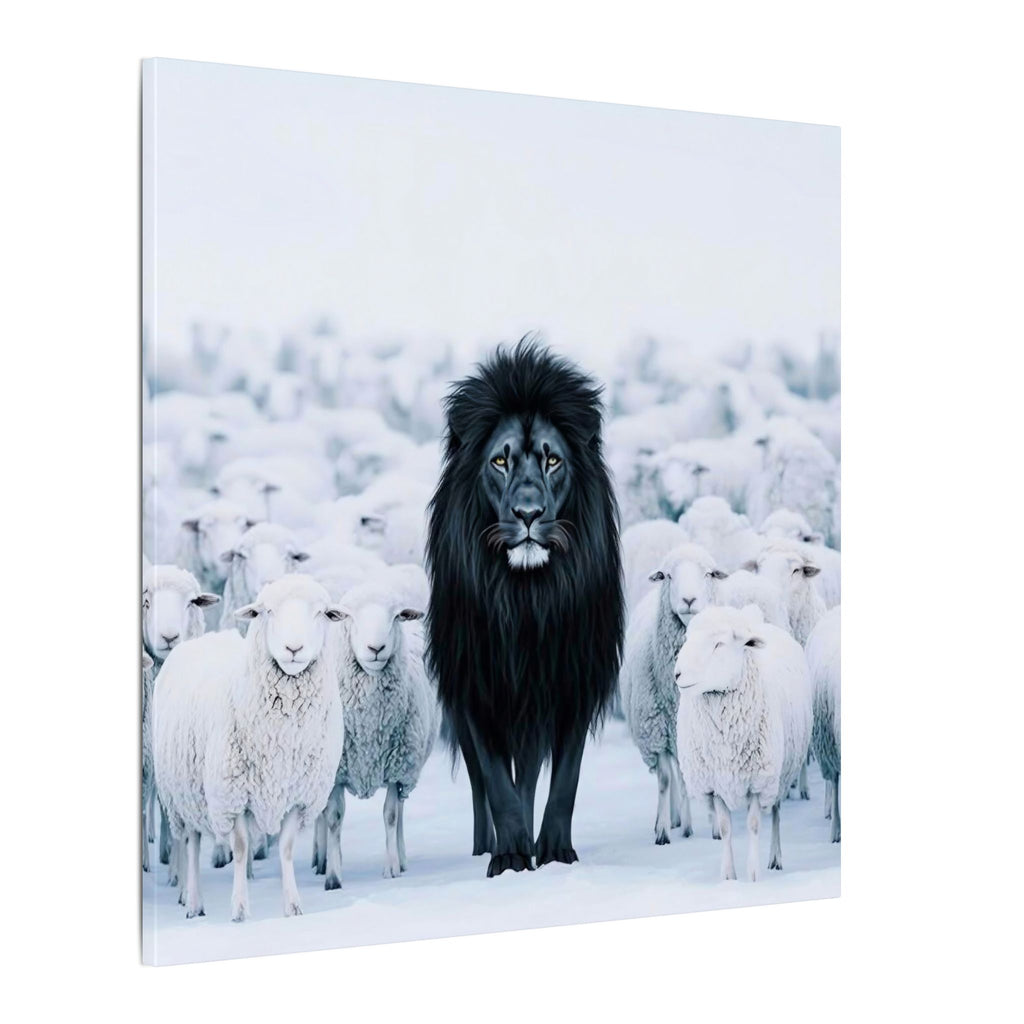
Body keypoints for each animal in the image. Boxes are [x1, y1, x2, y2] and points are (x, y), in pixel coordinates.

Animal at [153, 574, 346, 920]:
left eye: (322, 613)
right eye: (267, 611)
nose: (293, 648)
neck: (282, 736)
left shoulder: (297, 795)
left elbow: (285, 848)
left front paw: (293, 907)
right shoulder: (233, 796)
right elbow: (241, 849)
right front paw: (240, 909)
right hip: (184, 795)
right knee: (190, 843)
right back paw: (192, 901)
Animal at [313, 566, 439, 887]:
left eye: (395, 616)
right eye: (349, 616)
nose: (376, 648)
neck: (370, 723)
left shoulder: (397, 767)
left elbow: (391, 815)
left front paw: (391, 868)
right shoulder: (337, 770)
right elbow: (333, 818)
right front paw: (333, 876)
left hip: (409, 768)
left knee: (402, 811)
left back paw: (402, 859)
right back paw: (320, 859)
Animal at [426, 339, 624, 876]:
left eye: (552, 461)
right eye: (500, 461)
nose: (529, 514)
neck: (528, 598)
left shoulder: (572, 681)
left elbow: (564, 781)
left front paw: (554, 853)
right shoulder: (477, 685)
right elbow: (497, 784)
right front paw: (511, 856)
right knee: (483, 786)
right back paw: (487, 847)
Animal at [674, 605, 812, 881]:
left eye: (718, 644)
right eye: (687, 639)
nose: (677, 674)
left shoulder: (758, 783)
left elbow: (754, 825)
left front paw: (753, 874)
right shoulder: (714, 784)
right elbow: (725, 828)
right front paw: (729, 876)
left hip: (778, 775)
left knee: (776, 814)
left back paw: (775, 858)